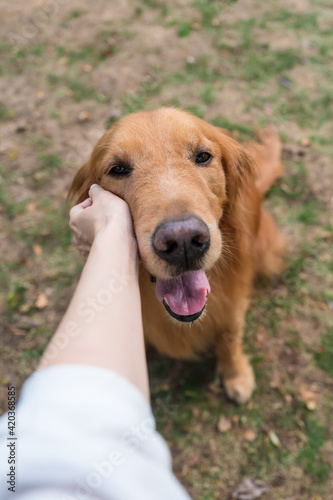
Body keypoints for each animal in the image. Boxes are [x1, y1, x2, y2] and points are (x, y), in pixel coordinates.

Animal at [68, 107, 282, 404]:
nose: (183, 242)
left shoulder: (234, 303)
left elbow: (229, 337)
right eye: (118, 169)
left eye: (203, 156)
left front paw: (236, 374)